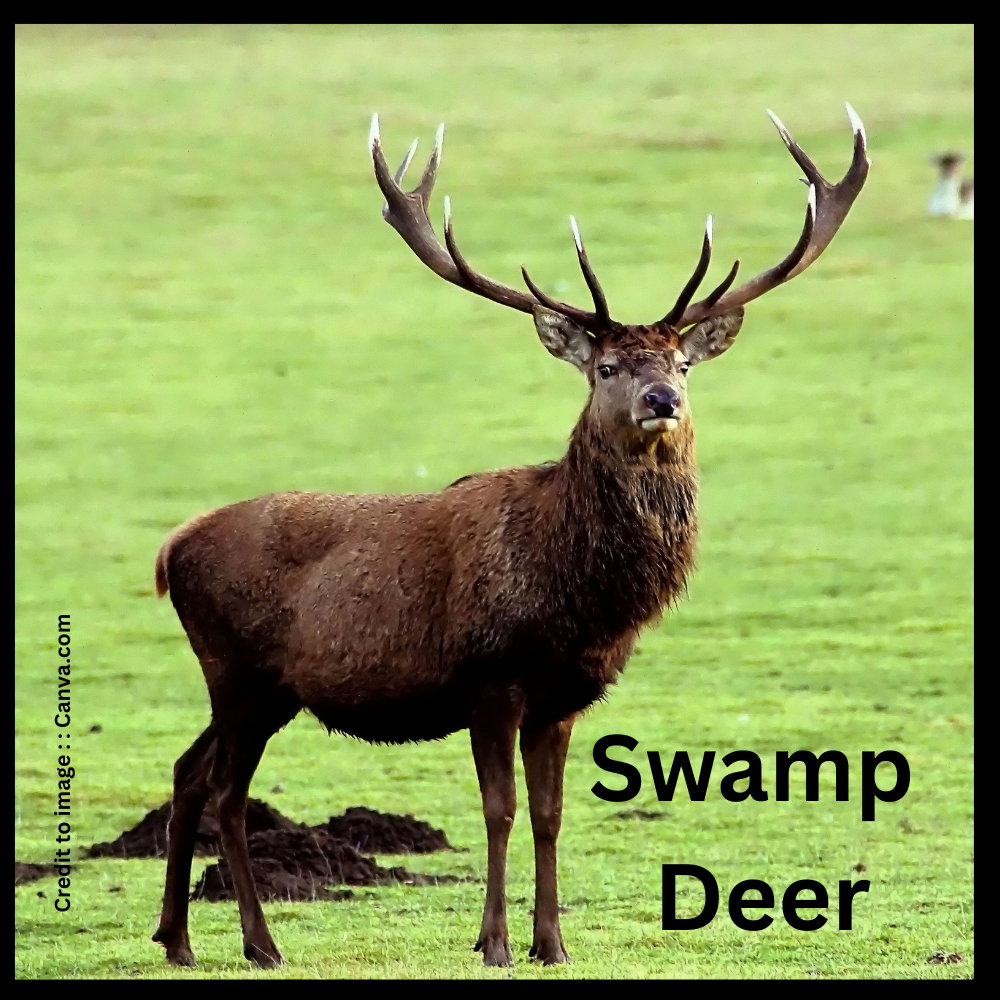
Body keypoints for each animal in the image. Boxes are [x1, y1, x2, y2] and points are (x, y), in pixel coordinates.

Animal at [150, 104, 868, 969]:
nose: (661, 400)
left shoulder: (564, 697)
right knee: (226, 790)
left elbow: (552, 814)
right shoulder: (490, 677)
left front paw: (552, 942)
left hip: (258, 686)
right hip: (238, 670)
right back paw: (260, 944)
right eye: (606, 368)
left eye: (682, 365)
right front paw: (492, 942)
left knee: (190, 772)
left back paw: (177, 940)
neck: (578, 600)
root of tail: (170, 551)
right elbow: (499, 810)